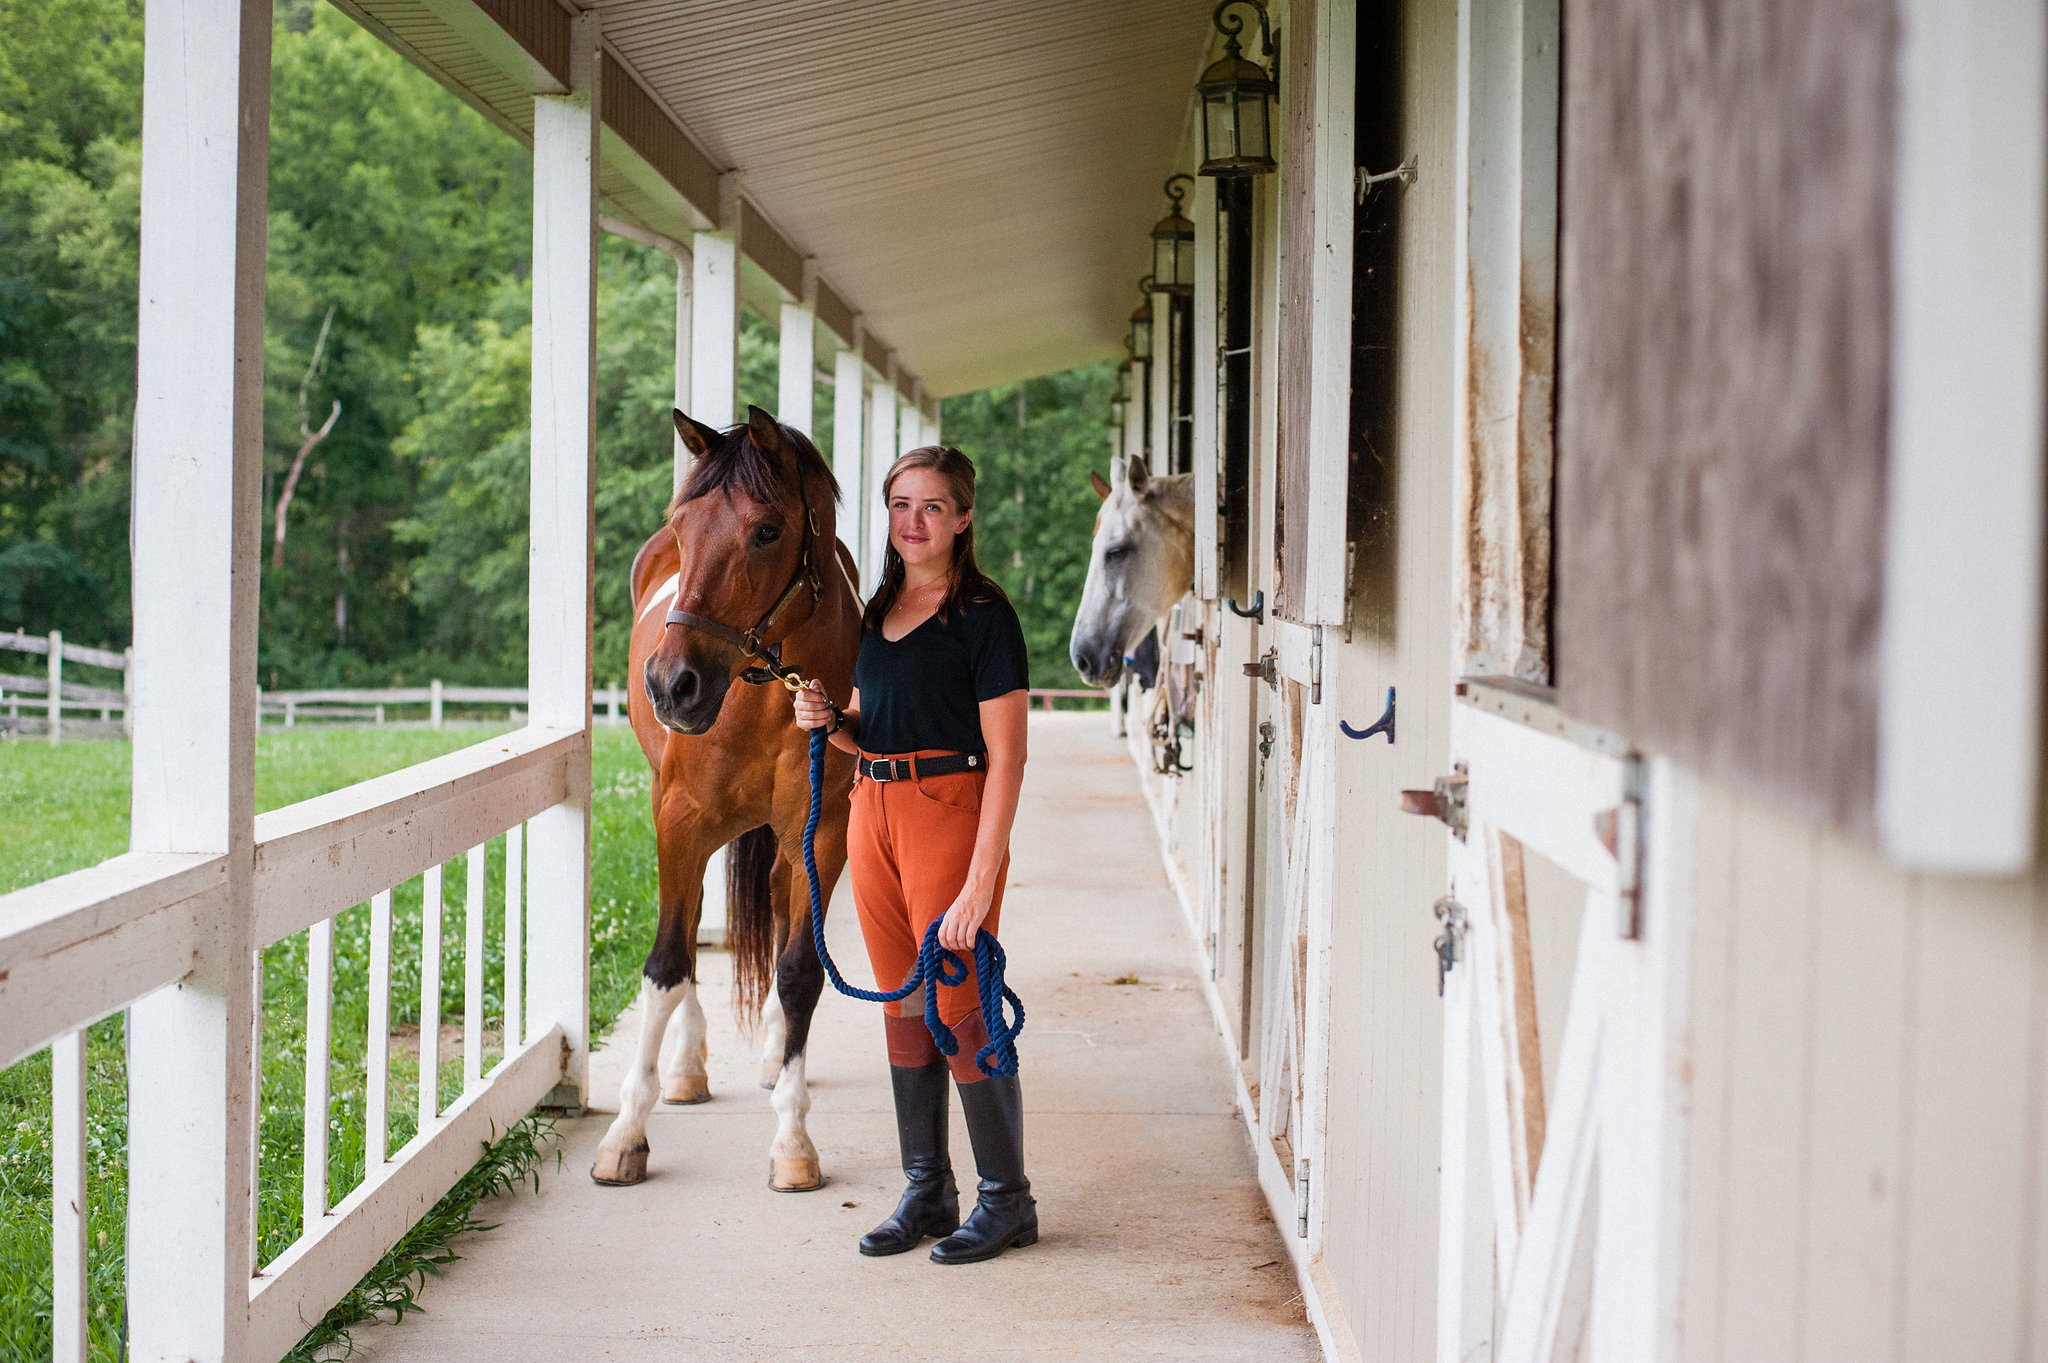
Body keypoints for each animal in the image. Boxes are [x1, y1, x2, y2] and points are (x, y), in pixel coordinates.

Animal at [589, 399, 860, 1186]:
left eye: (766, 529)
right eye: (683, 528)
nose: (671, 684)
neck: (768, 696)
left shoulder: (822, 833)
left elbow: (800, 970)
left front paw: (794, 1140)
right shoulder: (680, 821)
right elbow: (666, 964)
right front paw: (626, 1130)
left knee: (774, 908)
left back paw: (770, 1052)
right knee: (688, 937)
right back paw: (684, 1067)